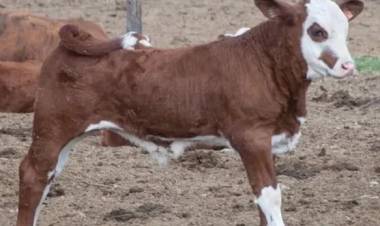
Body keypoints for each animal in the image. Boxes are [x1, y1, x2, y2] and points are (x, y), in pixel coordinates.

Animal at [16, 0, 364, 225]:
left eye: (346, 29)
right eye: (317, 31)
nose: (348, 66)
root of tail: (78, 41)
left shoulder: (268, 140)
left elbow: (264, 199)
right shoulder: (250, 137)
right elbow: (269, 196)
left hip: (64, 135)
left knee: (48, 178)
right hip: (52, 128)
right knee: (33, 175)